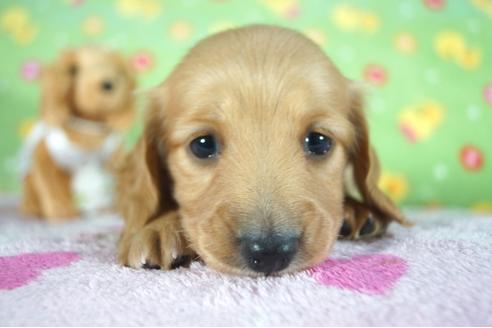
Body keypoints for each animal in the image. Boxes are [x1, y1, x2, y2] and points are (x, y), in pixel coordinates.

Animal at [20, 46, 135, 222]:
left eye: (118, 71)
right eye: (74, 70)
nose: (108, 84)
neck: (88, 128)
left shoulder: (114, 157)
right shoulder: (48, 159)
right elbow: (52, 185)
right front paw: (62, 213)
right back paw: (34, 210)